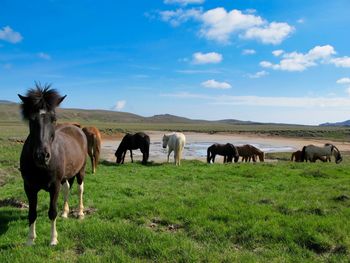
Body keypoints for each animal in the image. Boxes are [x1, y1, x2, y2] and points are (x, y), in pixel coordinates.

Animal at [18, 85, 87, 248]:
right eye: (31, 119)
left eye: (54, 119)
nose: (42, 155)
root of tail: (77, 128)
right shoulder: (29, 187)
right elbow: (32, 213)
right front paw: (30, 240)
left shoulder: (54, 186)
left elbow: (52, 212)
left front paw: (53, 239)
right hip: (66, 176)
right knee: (67, 188)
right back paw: (65, 212)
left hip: (81, 171)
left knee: (80, 189)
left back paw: (80, 213)